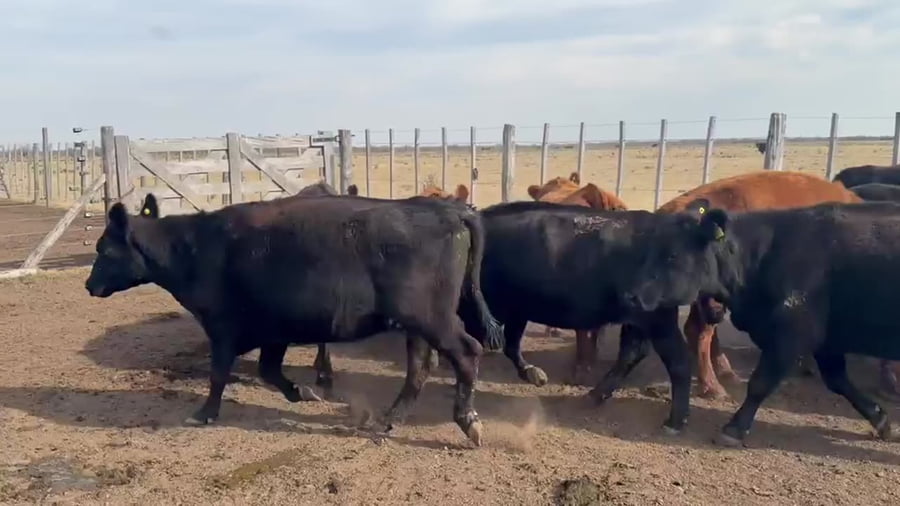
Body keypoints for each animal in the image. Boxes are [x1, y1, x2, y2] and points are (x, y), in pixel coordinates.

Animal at [84, 192, 503, 445]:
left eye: (104, 249)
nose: (89, 284)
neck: (195, 248)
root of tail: (447, 209)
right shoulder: (275, 332)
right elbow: (269, 370)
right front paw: (302, 391)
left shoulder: (222, 328)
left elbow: (218, 374)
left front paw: (203, 414)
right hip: (415, 325)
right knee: (419, 368)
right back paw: (386, 421)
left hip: (432, 318)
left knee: (467, 353)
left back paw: (469, 421)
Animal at [619, 198, 900, 446]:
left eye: (672, 255)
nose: (630, 295)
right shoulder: (826, 342)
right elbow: (838, 380)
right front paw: (881, 420)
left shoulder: (791, 335)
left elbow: (760, 383)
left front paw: (734, 428)